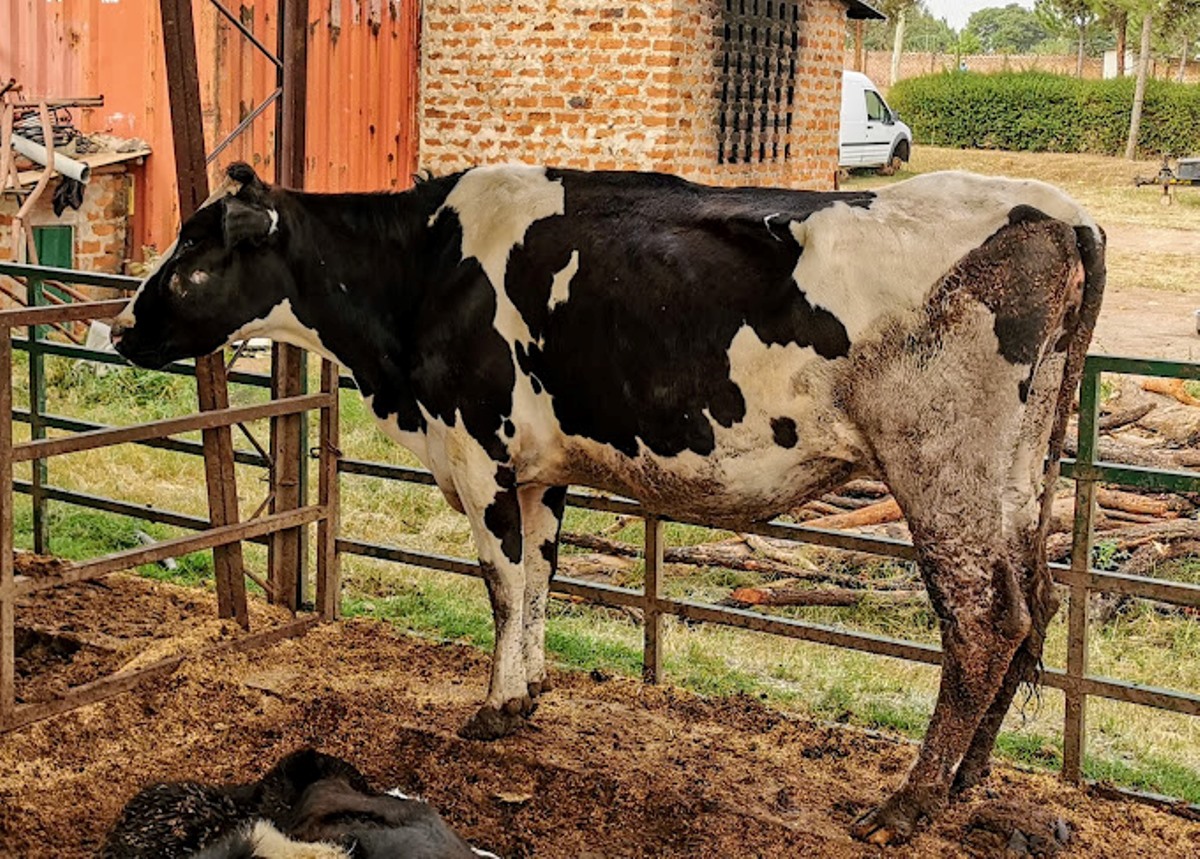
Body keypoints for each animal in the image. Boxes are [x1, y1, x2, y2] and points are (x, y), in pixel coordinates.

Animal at [112, 163, 1104, 844]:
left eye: (194, 251)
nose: (119, 328)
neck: (421, 271)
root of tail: (1059, 213)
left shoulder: (480, 453)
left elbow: (501, 584)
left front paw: (494, 706)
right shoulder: (539, 470)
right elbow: (540, 582)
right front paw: (530, 692)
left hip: (943, 467)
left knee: (981, 620)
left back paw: (909, 802)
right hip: (1019, 474)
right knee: (1034, 607)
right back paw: (969, 780)